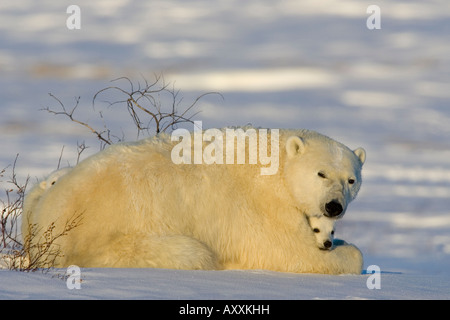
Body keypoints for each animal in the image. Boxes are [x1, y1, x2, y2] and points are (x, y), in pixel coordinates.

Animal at [23, 129, 366, 274]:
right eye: (321, 173)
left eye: (351, 180)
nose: (333, 206)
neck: (277, 163)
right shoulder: (263, 205)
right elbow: (289, 252)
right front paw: (346, 252)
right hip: (113, 240)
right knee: (192, 253)